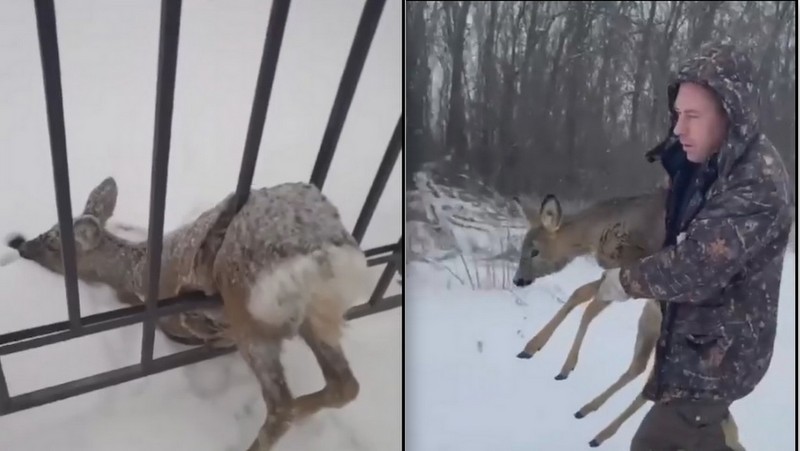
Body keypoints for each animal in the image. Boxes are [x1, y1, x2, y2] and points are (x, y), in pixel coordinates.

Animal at [9, 177, 372, 451]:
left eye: (53, 242)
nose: (20, 245)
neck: (134, 268)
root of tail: (328, 258)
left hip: (251, 308)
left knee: (282, 405)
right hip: (312, 318)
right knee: (345, 385)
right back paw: (307, 412)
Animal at [512, 189, 668, 446]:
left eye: (534, 250)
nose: (517, 280)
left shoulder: (630, 277)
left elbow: (588, 308)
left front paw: (565, 365)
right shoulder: (616, 277)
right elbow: (580, 295)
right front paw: (533, 347)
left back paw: (600, 431)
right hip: (652, 319)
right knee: (641, 368)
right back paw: (589, 413)